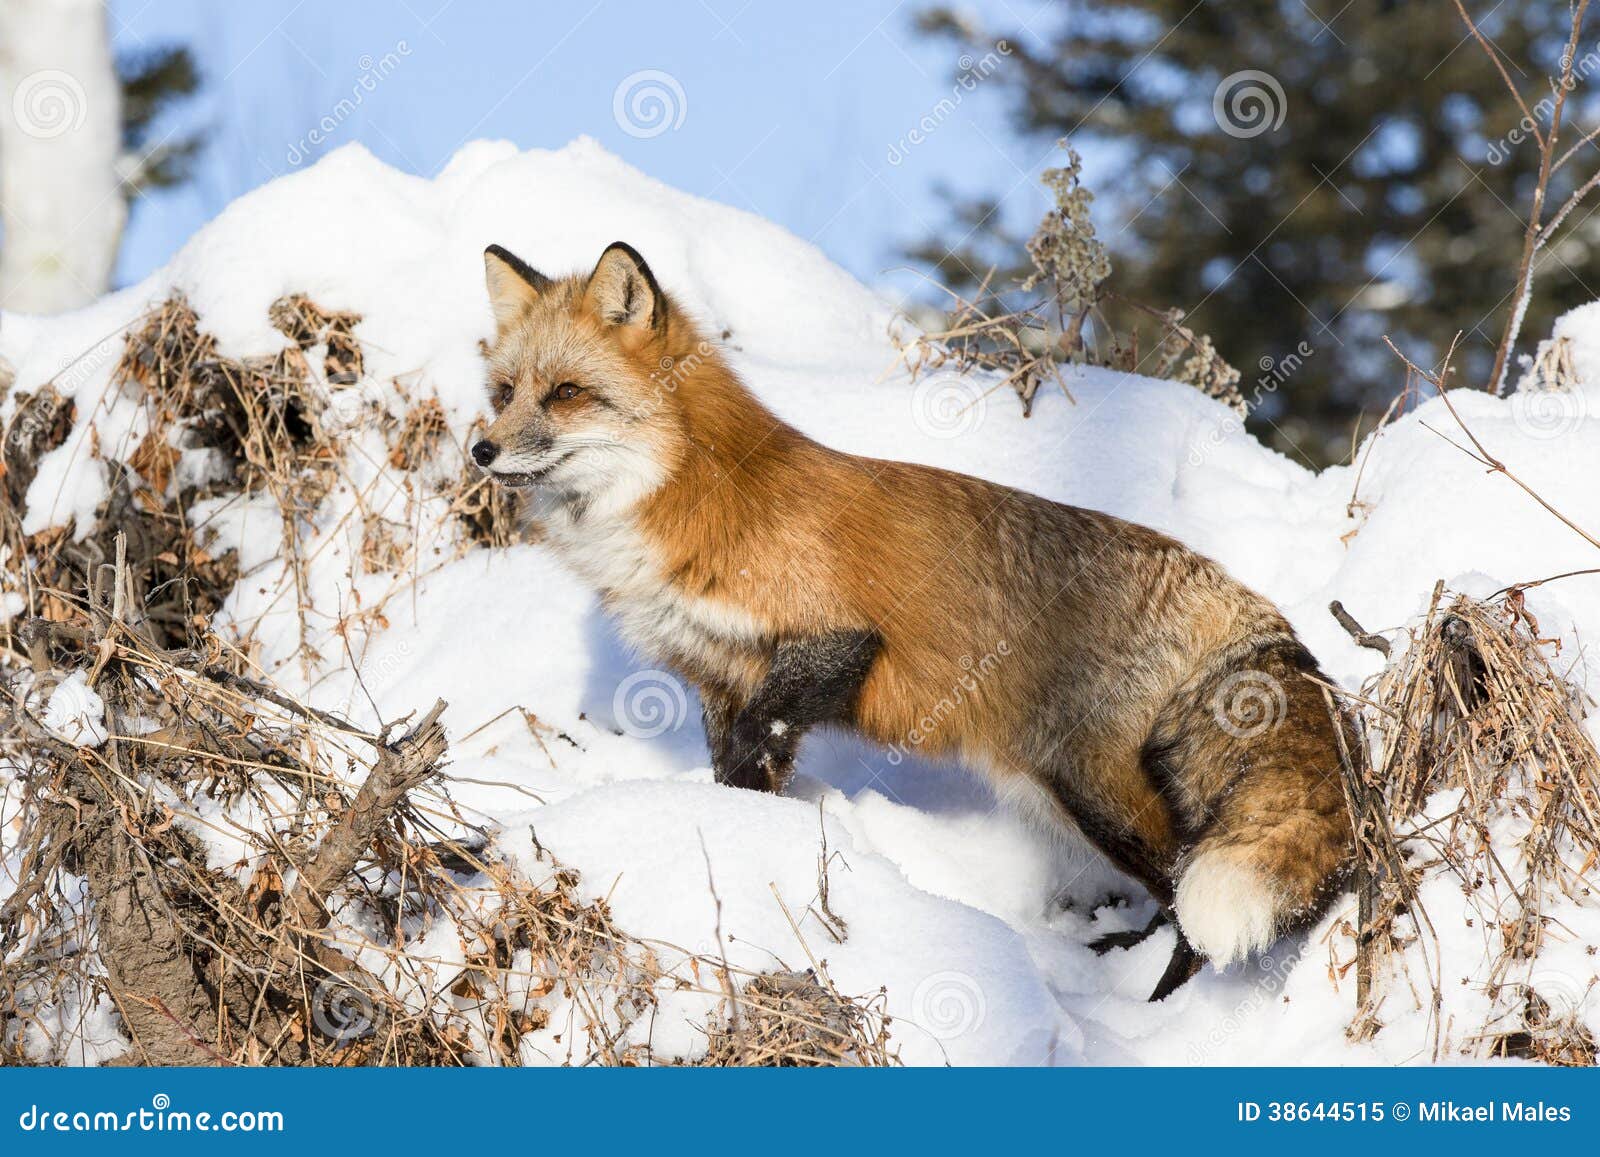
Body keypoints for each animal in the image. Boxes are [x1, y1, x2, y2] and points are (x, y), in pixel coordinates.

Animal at [470, 240, 1350, 998]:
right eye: (505, 393)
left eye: (567, 393)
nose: (480, 450)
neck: (698, 497)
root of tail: (1226, 587)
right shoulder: (720, 678)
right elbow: (738, 773)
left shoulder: (834, 640)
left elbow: (766, 739)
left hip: (1089, 789)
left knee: (1182, 892)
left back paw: (1159, 1004)